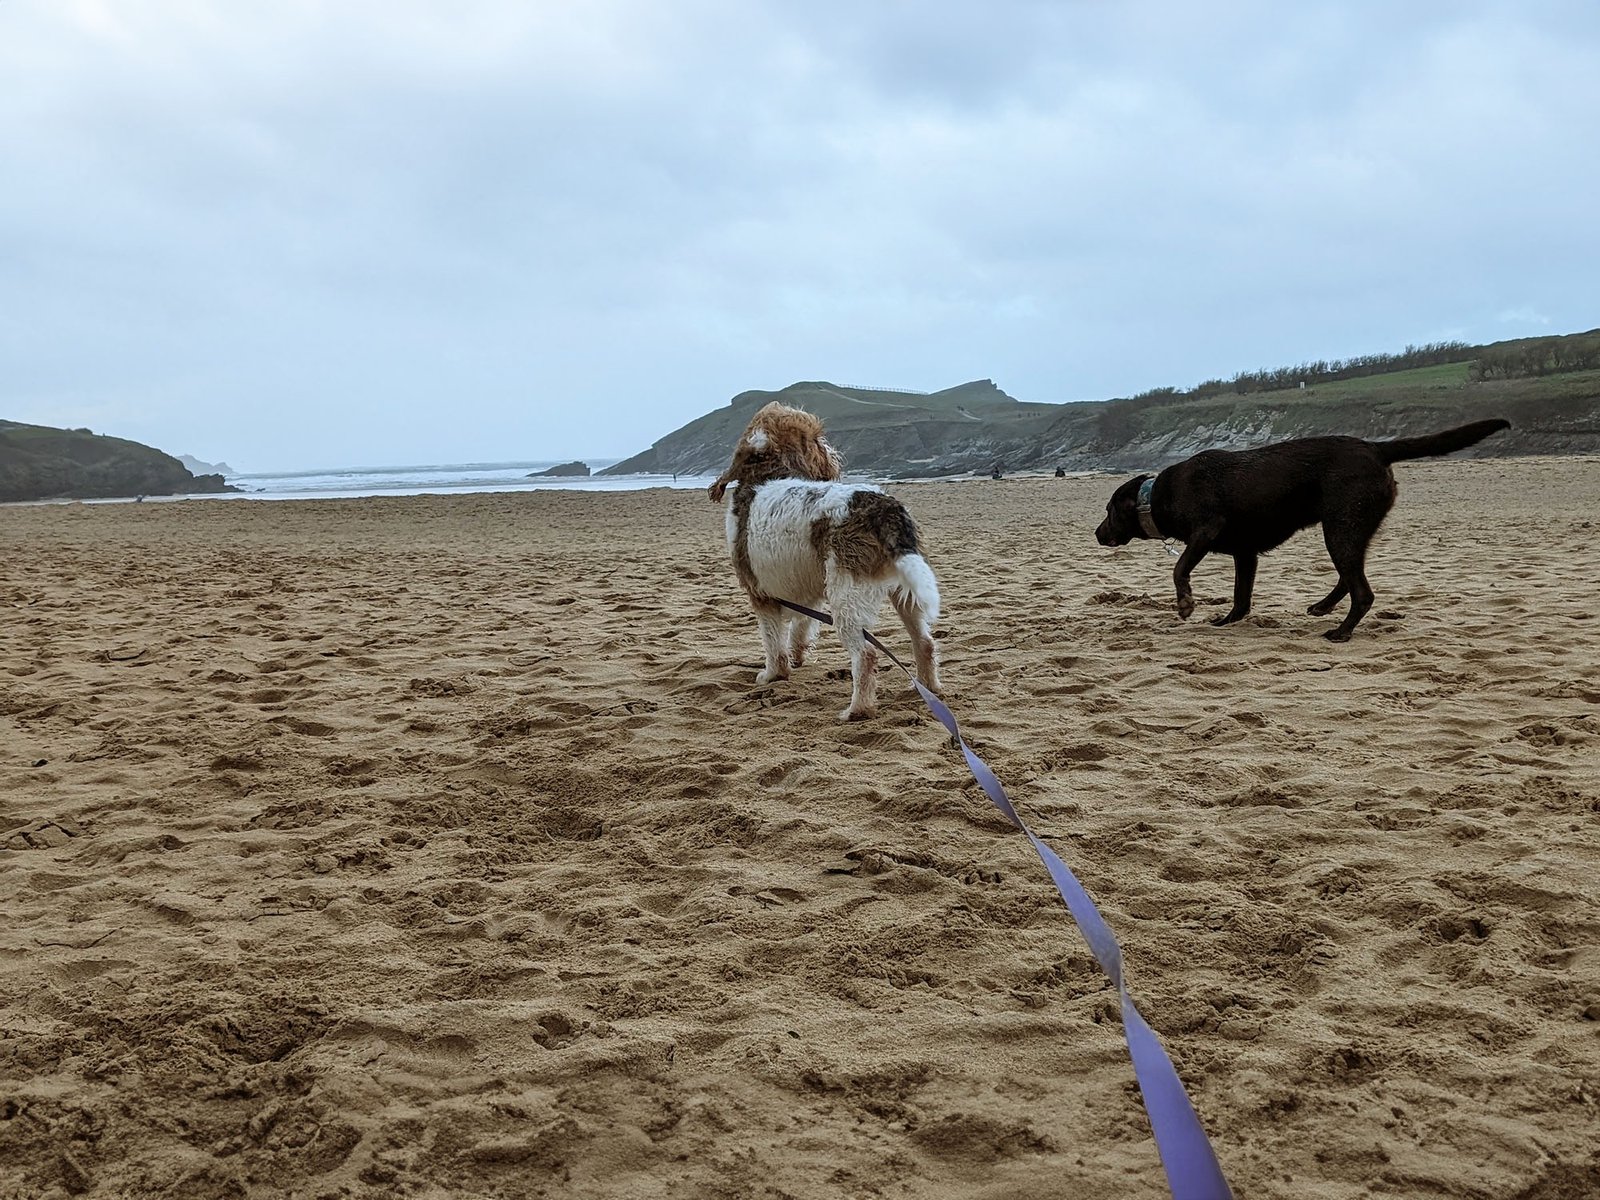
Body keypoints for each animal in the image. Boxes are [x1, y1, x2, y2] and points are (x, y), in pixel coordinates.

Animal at [710, 404, 934, 723]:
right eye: (816, 437)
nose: (833, 453)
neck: (768, 476)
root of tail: (884, 507)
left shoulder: (760, 595)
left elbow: (772, 642)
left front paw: (773, 675)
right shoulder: (806, 592)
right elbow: (800, 628)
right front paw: (798, 656)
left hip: (848, 598)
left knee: (867, 654)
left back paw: (857, 710)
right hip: (906, 590)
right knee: (924, 642)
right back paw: (928, 688)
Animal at [1100, 425, 1510, 649]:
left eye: (1107, 510)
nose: (1096, 532)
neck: (1154, 497)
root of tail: (1374, 447)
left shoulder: (1205, 530)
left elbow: (1179, 568)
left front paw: (1186, 604)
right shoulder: (1245, 554)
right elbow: (1241, 597)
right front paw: (1228, 620)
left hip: (1341, 527)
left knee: (1362, 590)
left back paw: (1341, 631)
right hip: (1350, 527)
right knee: (1350, 576)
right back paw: (1324, 607)